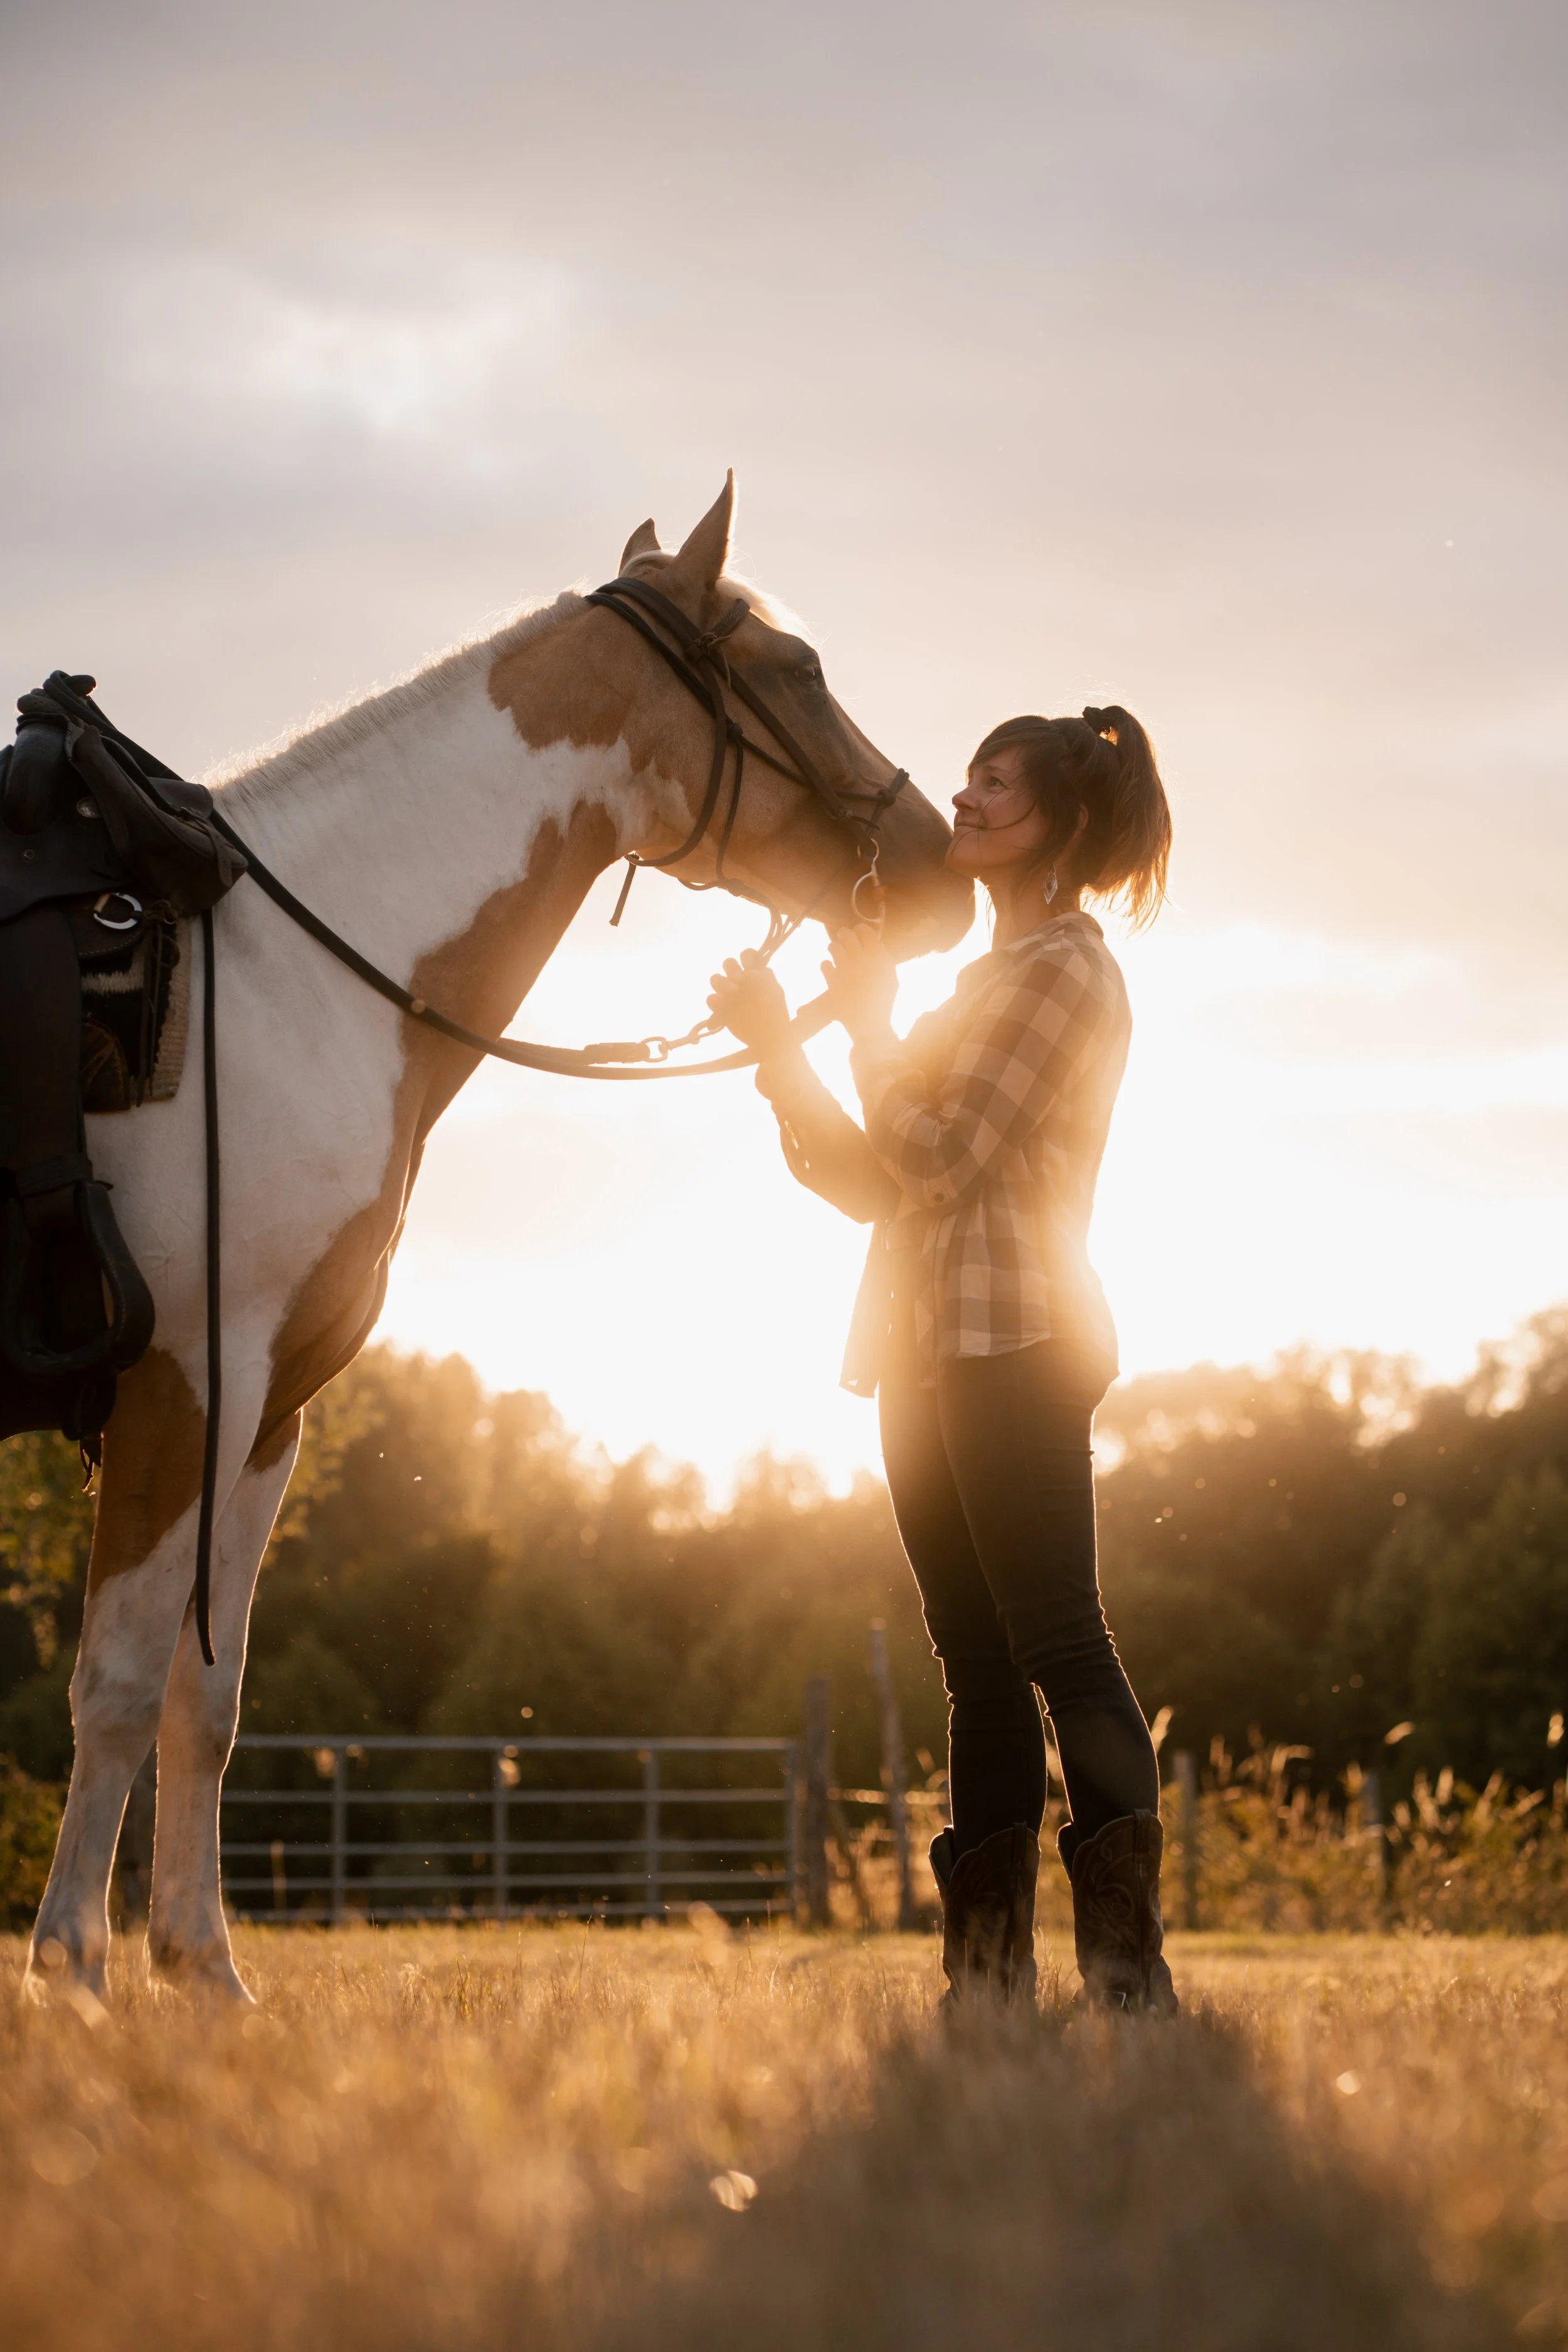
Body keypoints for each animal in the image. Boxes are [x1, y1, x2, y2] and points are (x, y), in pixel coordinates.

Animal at [24, 478, 973, 1998]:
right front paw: (73, 1974)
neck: (280, 984)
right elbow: (115, 1682)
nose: (941, 862)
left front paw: (203, 1974)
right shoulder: (180, 1384)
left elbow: (206, 1699)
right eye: (799, 668)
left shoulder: (263, 1415)